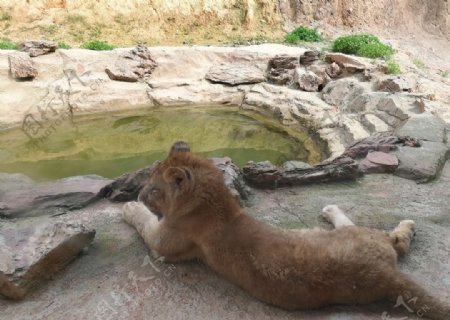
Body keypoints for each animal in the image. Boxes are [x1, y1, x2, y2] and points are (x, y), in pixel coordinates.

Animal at [123, 141, 450, 318]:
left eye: (154, 188)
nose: (140, 193)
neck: (217, 204)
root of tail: (388, 274)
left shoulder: (162, 244)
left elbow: (144, 222)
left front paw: (129, 207)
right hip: (372, 245)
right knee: (398, 242)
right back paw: (409, 226)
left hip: (347, 234)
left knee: (370, 231)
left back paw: (331, 209)